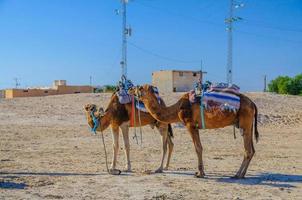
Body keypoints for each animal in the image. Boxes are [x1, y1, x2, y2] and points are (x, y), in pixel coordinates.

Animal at [129, 84, 258, 178]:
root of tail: (253, 103)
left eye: (140, 87)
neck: (177, 109)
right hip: (249, 125)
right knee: (252, 150)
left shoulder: (190, 125)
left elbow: (198, 148)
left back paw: (238, 174)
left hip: (245, 124)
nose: (130, 89)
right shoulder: (195, 127)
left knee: (247, 150)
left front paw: (200, 173)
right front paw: (201, 172)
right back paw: (242, 174)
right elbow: (199, 147)